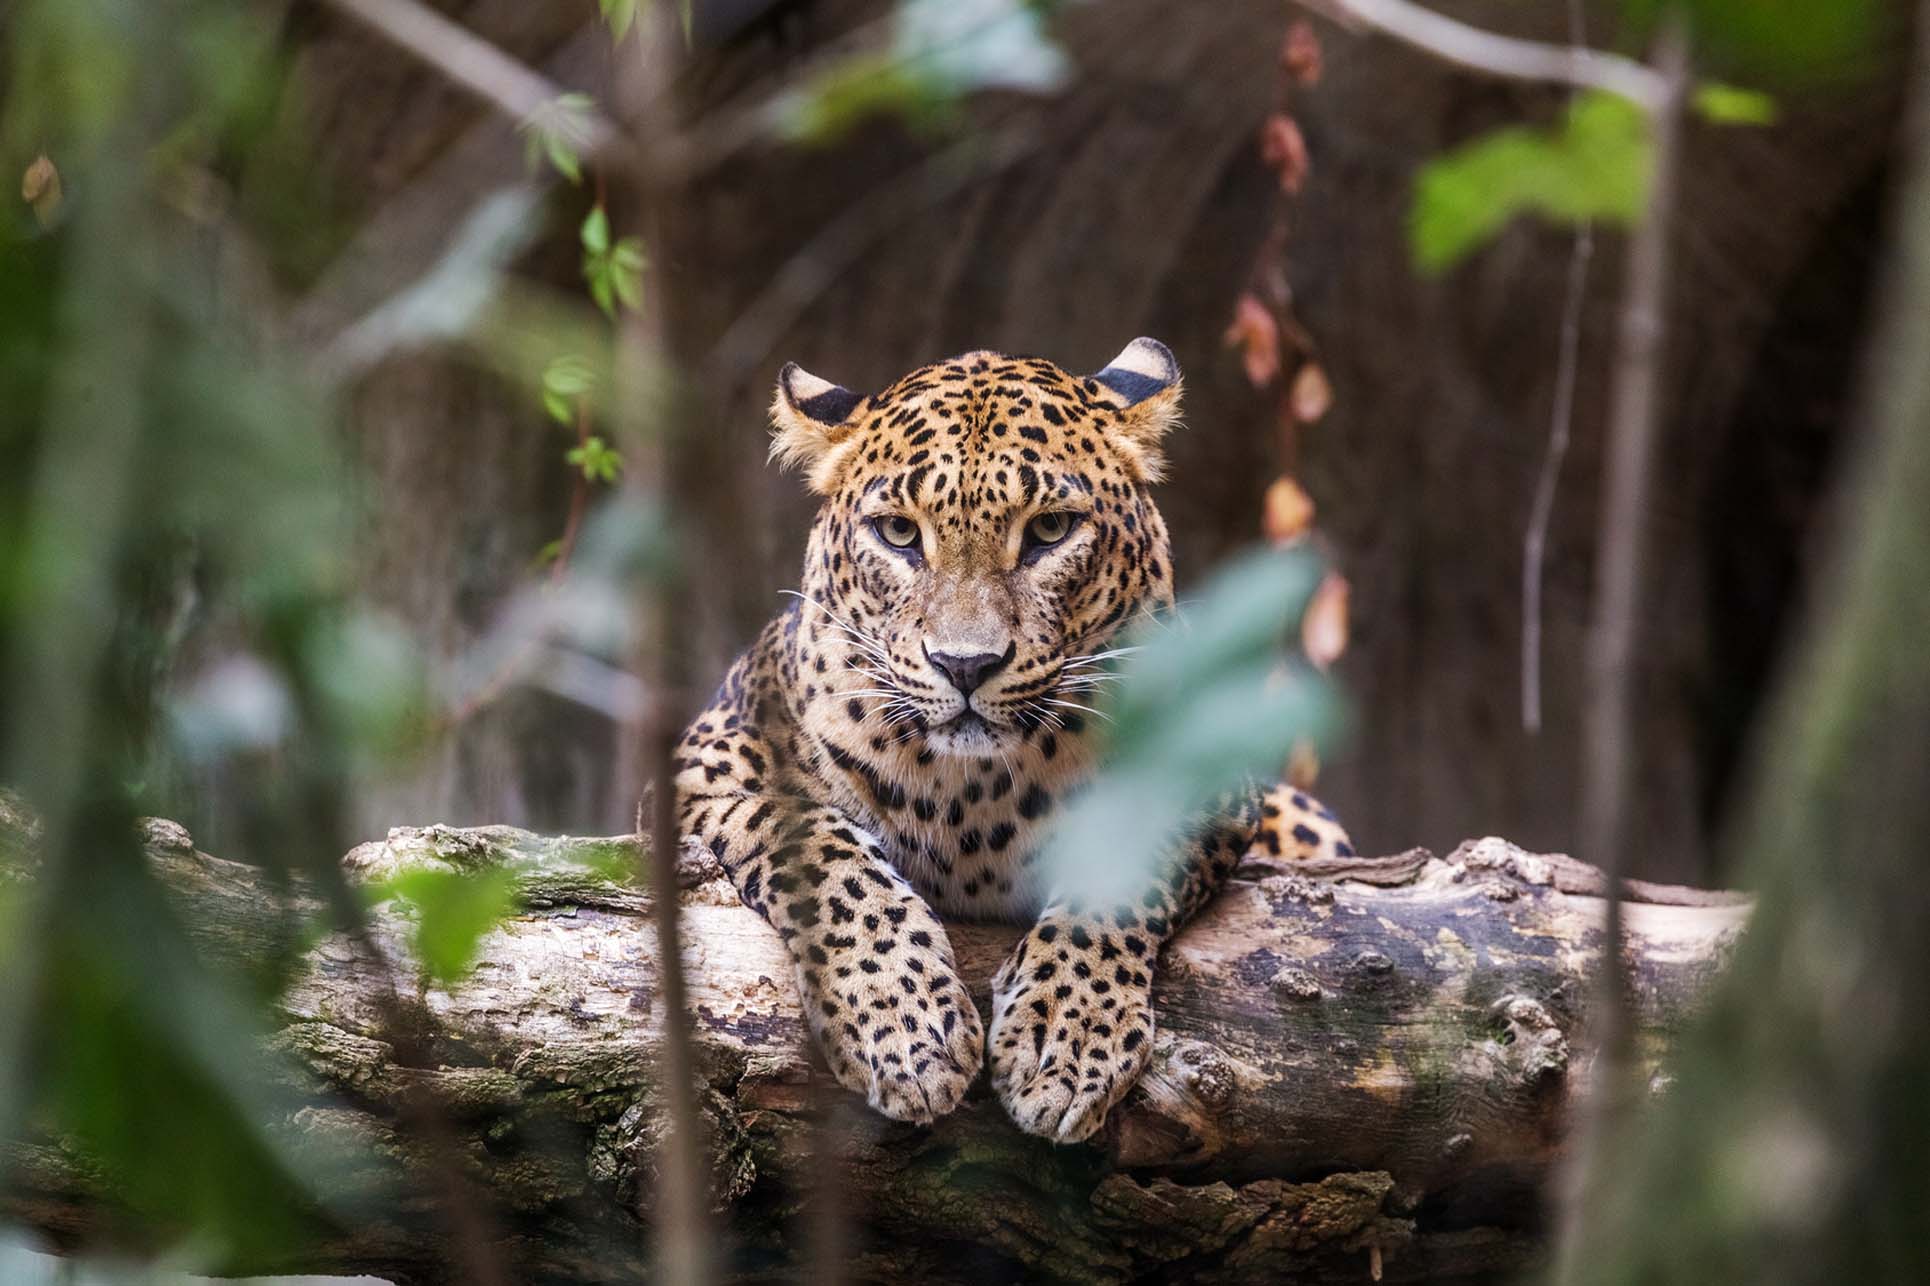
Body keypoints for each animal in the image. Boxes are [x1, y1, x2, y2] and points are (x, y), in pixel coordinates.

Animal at [674, 338, 1354, 1142]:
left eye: (1051, 531)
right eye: (898, 533)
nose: (965, 664)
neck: (969, 792)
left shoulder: (1204, 777)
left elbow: (1119, 867)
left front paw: (1068, 1038)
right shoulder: (702, 769)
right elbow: (822, 853)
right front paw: (905, 1029)